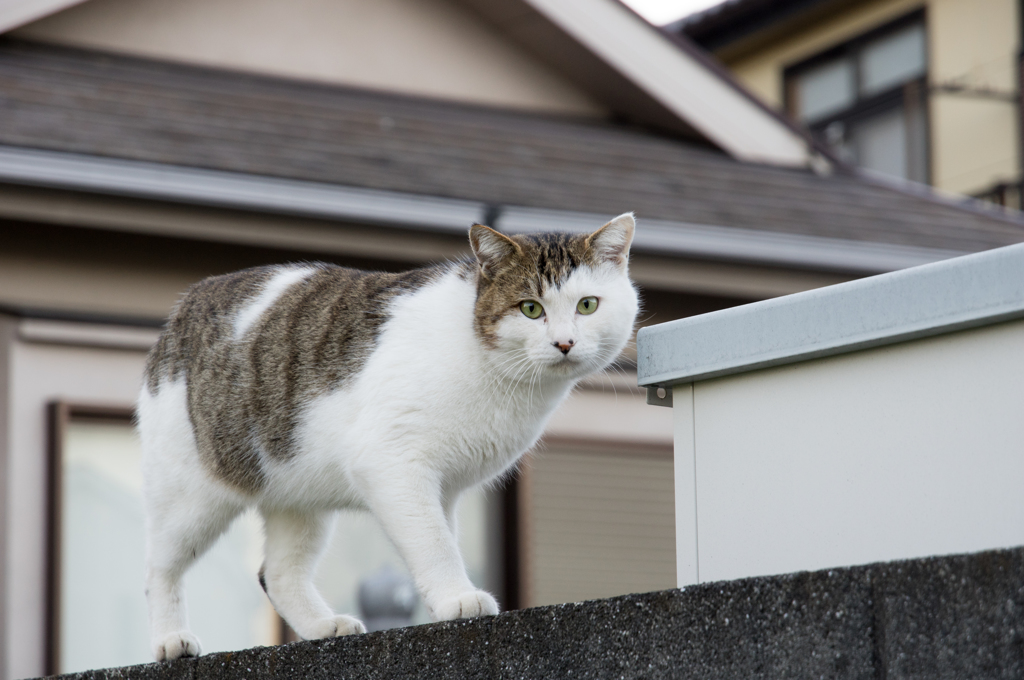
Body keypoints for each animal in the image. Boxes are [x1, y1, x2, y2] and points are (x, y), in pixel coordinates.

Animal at [135, 213, 630, 659]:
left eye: (588, 305)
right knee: (157, 565)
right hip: (192, 494)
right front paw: (459, 599)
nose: (564, 343)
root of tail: (185, 302)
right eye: (531, 308)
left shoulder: (445, 487)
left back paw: (323, 626)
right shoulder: (393, 462)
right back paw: (169, 640)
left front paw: (442, 603)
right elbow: (434, 543)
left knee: (277, 572)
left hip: (298, 494)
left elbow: (442, 537)